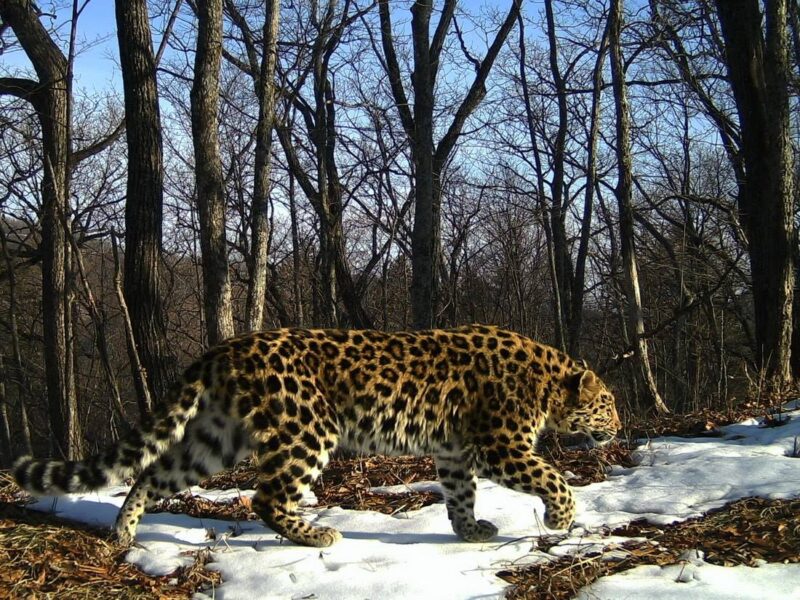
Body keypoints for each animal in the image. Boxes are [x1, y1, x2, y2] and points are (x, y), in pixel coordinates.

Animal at [14, 325, 620, 548]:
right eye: (608, 404)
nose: (620, 426)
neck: (547, 383)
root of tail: (224, 349)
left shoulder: (453, 453)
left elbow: (459, 495)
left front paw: (471, 532)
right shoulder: (501, 446)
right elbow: (553, 477)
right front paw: (562, 519)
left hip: (216, 439)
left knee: (151, 474)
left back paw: (123, 532)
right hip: (309, 427)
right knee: (266, 497)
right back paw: (316, 535)